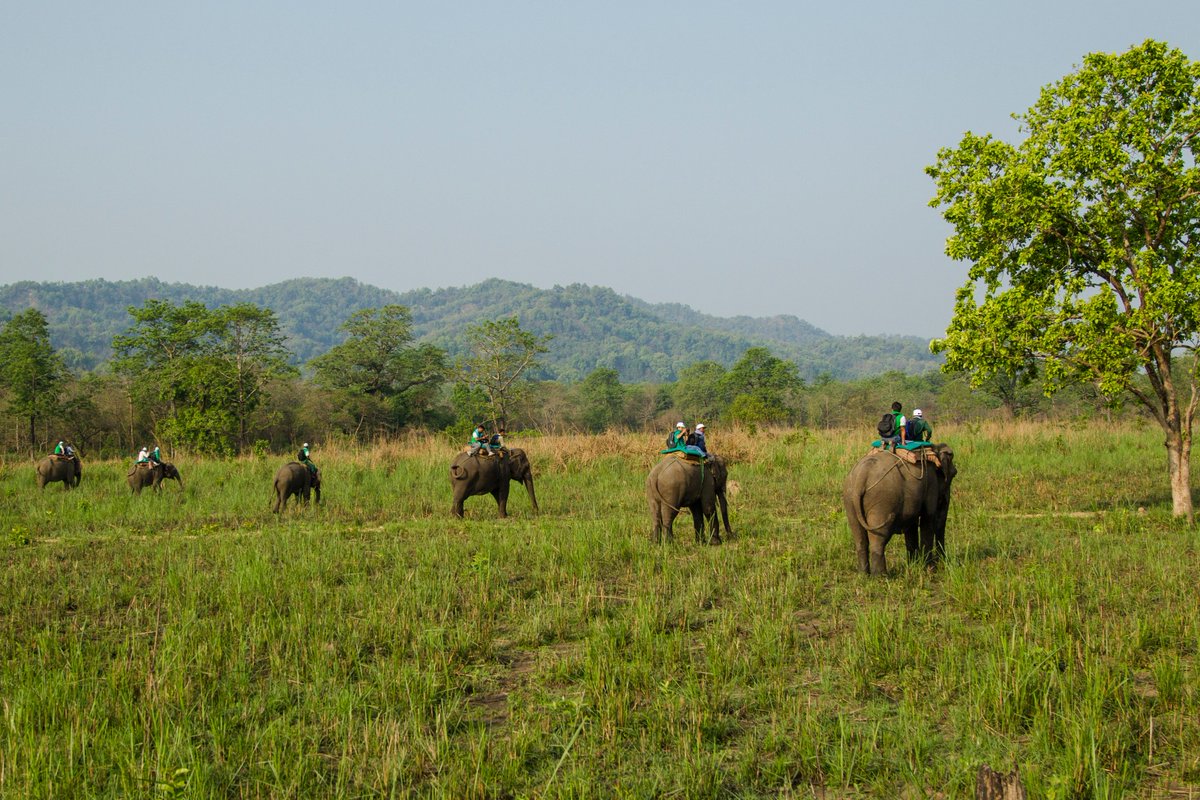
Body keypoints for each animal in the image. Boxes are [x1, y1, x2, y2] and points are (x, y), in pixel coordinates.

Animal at [844, 443, 955, 575]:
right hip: (882, 502)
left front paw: (914, 565)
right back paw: (881, 576)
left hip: (850, 500)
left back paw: (864, 574)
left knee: (859, 537)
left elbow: (912, 526)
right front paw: (929, 569)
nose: (943, 563)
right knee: (879, 538)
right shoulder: (931, 485)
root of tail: (862, 475)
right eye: (954, 474)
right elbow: (927, 520)